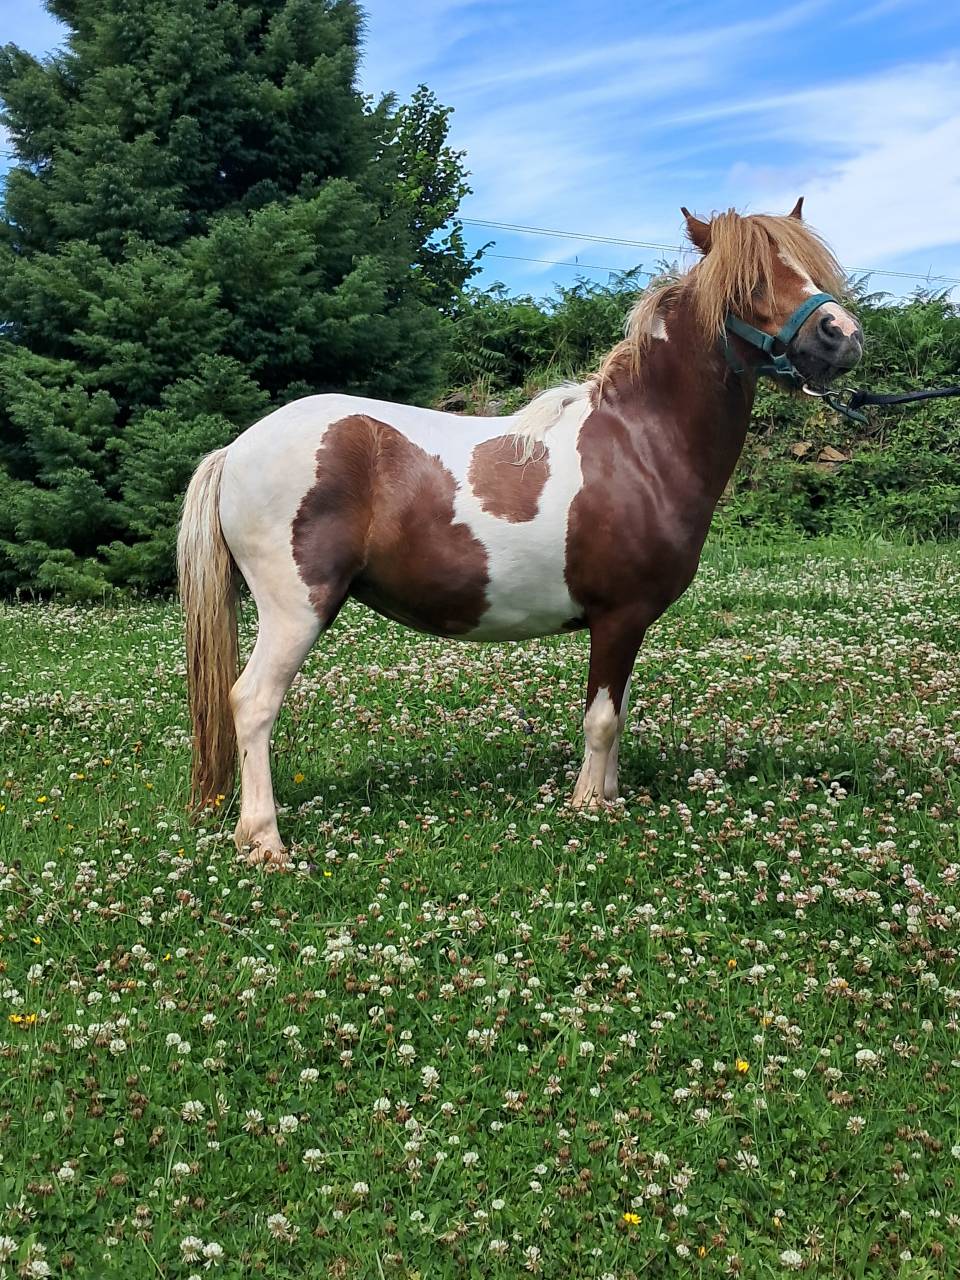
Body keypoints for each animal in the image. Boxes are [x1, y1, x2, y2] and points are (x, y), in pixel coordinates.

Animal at [177, 200, 862, 866]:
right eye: (750, 281)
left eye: (805, 269)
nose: (843, 337)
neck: (640, 444)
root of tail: (235, 450)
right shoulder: (618, 615)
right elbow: (601, 720)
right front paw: (588, 806)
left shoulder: (630, 622)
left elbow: (618, 710)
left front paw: (610, 797)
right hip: (296, 609)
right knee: (253, 703)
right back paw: (264, 842)